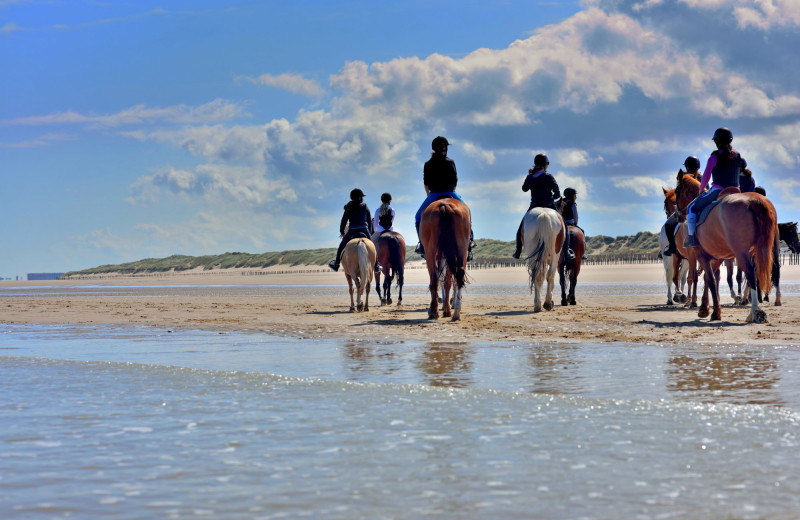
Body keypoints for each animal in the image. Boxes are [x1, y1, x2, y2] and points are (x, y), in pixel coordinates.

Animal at [692, 189, 780, 322]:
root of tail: (755, 200)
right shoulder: (717, 258)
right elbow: (708, 278)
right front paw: (704, 308)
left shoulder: (702, 256)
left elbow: (711, 280)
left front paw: (715, 312)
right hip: (768, 250)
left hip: (742, 253)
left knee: (751, 274)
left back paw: (755, 311)